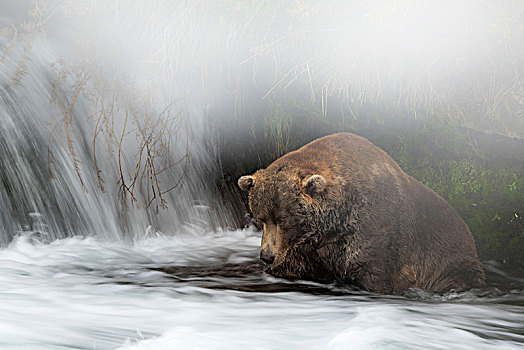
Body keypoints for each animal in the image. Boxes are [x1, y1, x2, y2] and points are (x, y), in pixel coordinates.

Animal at [237, 133, 484, 294]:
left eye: (284, 220)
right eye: (261, 218)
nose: (266, 256)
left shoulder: (375, 231)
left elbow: (374, 274)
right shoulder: (307, 247)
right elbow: (294, 265)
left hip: (450, 259)